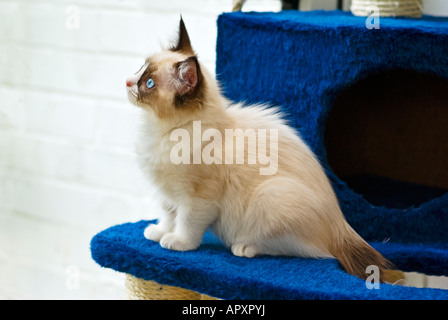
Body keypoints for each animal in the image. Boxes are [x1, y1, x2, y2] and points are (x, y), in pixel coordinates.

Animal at [126, 18, 402, 282]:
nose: (127, 81)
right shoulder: (168, 194)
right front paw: (159, 232)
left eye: (148, 83)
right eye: (141, 69)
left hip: (269, 196)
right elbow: (167, 216)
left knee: (306, 251)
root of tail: (341, 223)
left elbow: (186, 224)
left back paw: (244, 247)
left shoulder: (197, 200)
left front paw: (177, 243)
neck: (160, 131)